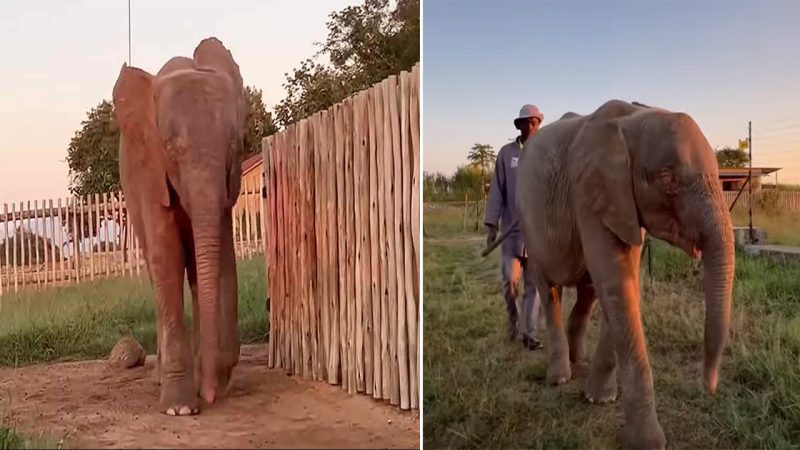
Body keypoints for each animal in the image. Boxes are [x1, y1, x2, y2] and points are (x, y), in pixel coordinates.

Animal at [111, 37, 245, 416]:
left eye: (233, 146)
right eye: (170, 149)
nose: (210, 396)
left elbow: (217, 262)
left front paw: (211, 380)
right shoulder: (149, 173)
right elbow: (167, 258)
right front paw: (180, 409)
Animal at [510, 100, 736, 448]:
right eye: (667, 177)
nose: (709, 387)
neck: (635, 116)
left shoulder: (623, 205)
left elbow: (624, 284)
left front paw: (598, 398)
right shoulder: (591, 193)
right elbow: (616, 282)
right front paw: (649, 443)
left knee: (587, 292)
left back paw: (580, 364)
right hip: (528, 223)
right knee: (549, 291)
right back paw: (559, 377)